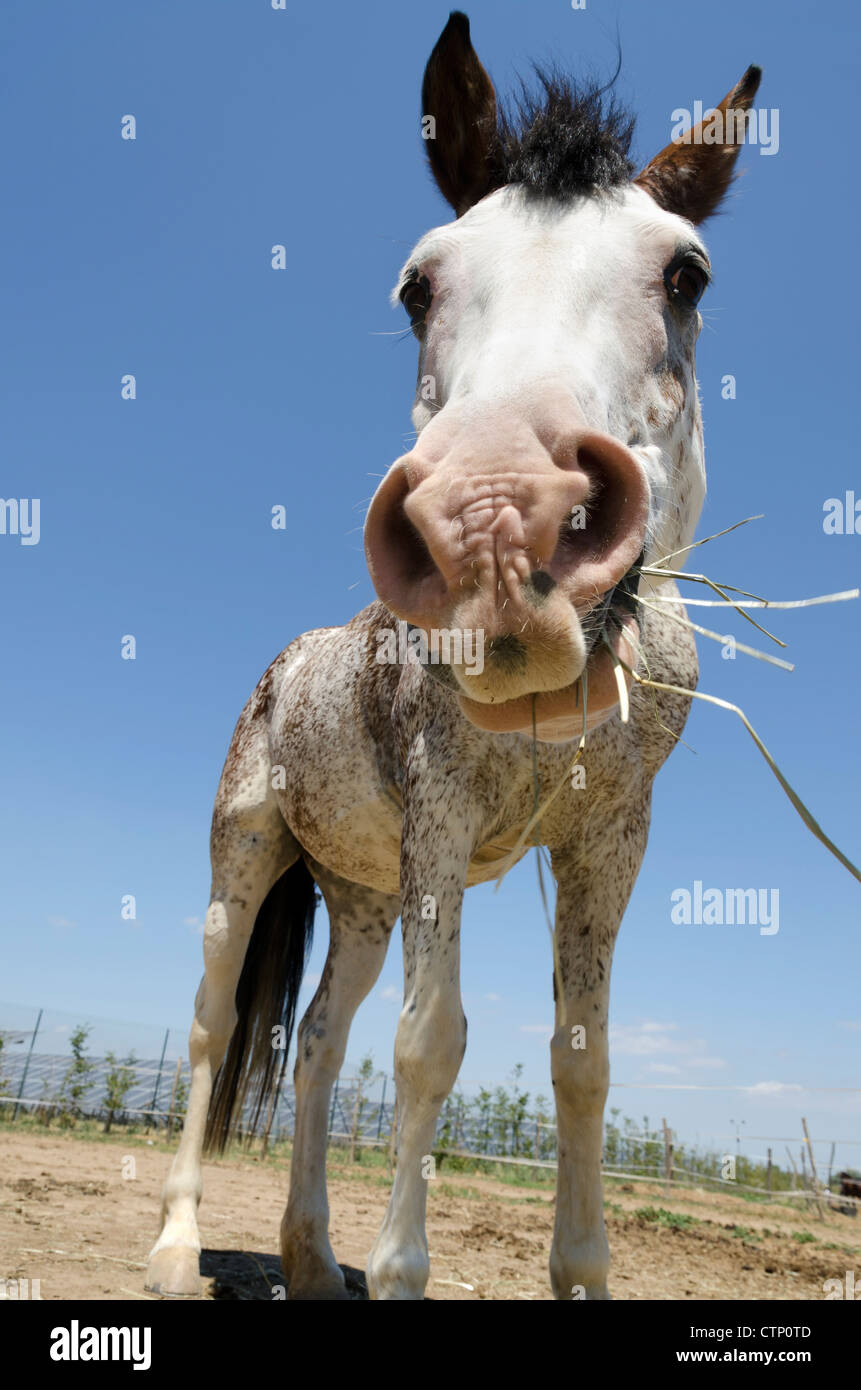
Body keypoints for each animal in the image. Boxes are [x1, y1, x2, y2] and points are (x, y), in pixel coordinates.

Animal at [144, 10, 762, 1295]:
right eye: (419, 282)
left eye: (686, 273)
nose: (496, 519)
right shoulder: (442, 812)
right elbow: (431, 1043)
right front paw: (399, 1269)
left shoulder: (607, 839)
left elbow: (583, 1057)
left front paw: (577, 1268)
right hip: (249, 854)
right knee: (216, 1022)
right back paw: (177, 1246)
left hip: (364, 896)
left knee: (319, 1042)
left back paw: (312, 1259)